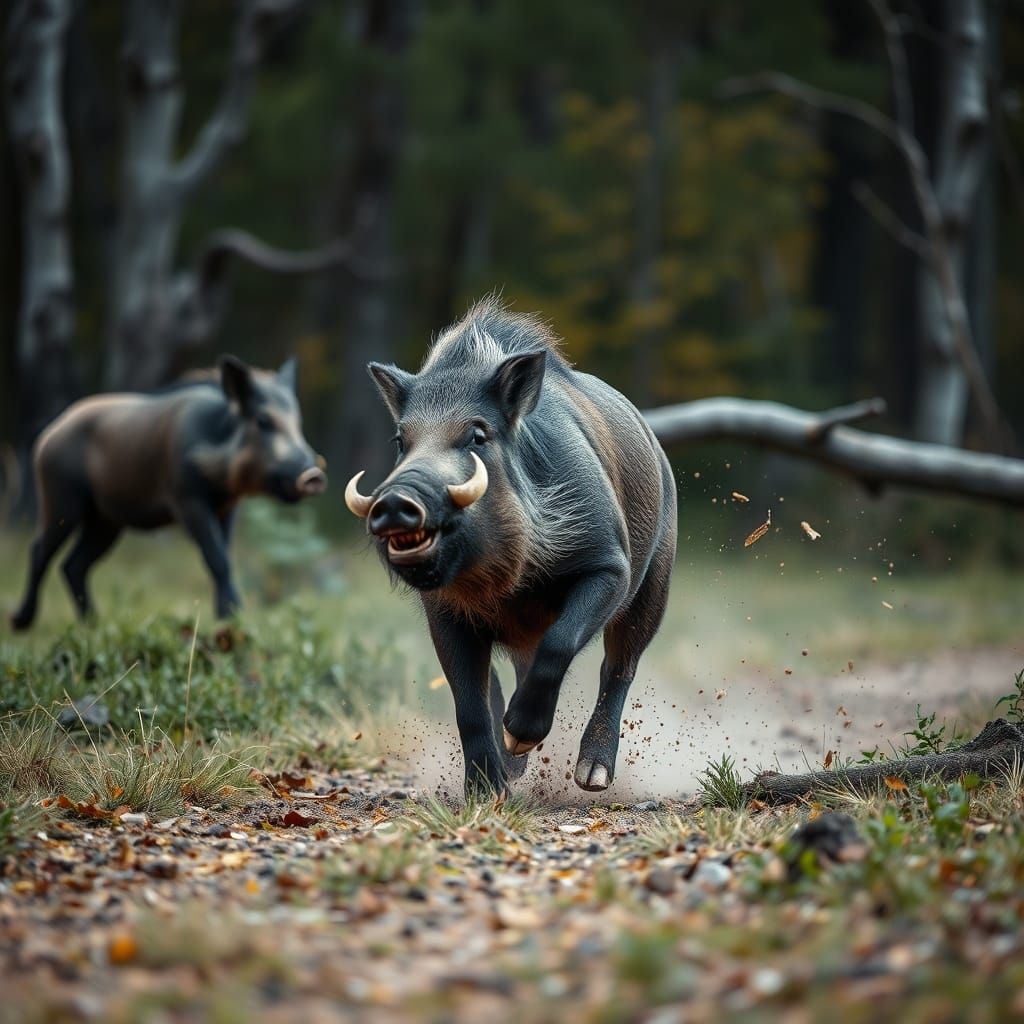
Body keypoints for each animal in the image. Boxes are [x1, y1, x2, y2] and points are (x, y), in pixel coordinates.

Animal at [10, 356, 326, 630]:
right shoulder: (187, 500)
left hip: (106, 521)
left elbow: (225, 556)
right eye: (263, 420)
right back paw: (20, 622)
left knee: (73, 565)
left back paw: (93, 624)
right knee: (39, 551)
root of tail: (49, 434)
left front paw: (229, 619)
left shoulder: (228, 509)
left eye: (298, 422)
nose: (313, 475)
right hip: (61, 498)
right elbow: (217, 558)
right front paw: (232, 616)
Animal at [344, 298, 676, 795]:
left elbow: (560, 643)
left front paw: (519, 738)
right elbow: (466, 699)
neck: (507, 581)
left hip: (656, 581)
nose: (396, 500)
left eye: (477, 435)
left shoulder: (610, 564)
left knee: (619, 666)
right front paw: (487, 792)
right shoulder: (441, 606)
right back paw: (514, 767)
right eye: (400, 440)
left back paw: (591, 778)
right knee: (503, 675)